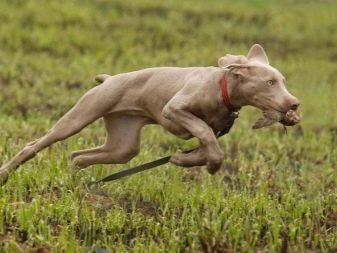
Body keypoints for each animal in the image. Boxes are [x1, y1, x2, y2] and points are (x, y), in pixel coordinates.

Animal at [0, 44, 300, 184]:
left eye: (284, 81)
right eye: (269, 82)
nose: (295, 104)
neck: (222, 88)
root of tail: (109, 79)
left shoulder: (214, 129)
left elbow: (208, 146)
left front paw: (182, 159)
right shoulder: (173, 110)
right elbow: (205, 135)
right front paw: (209, 164)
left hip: (124, 145)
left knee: (78, 156)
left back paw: (73, 181)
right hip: (78, 118)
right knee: (34, 146)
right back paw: (6, 173)